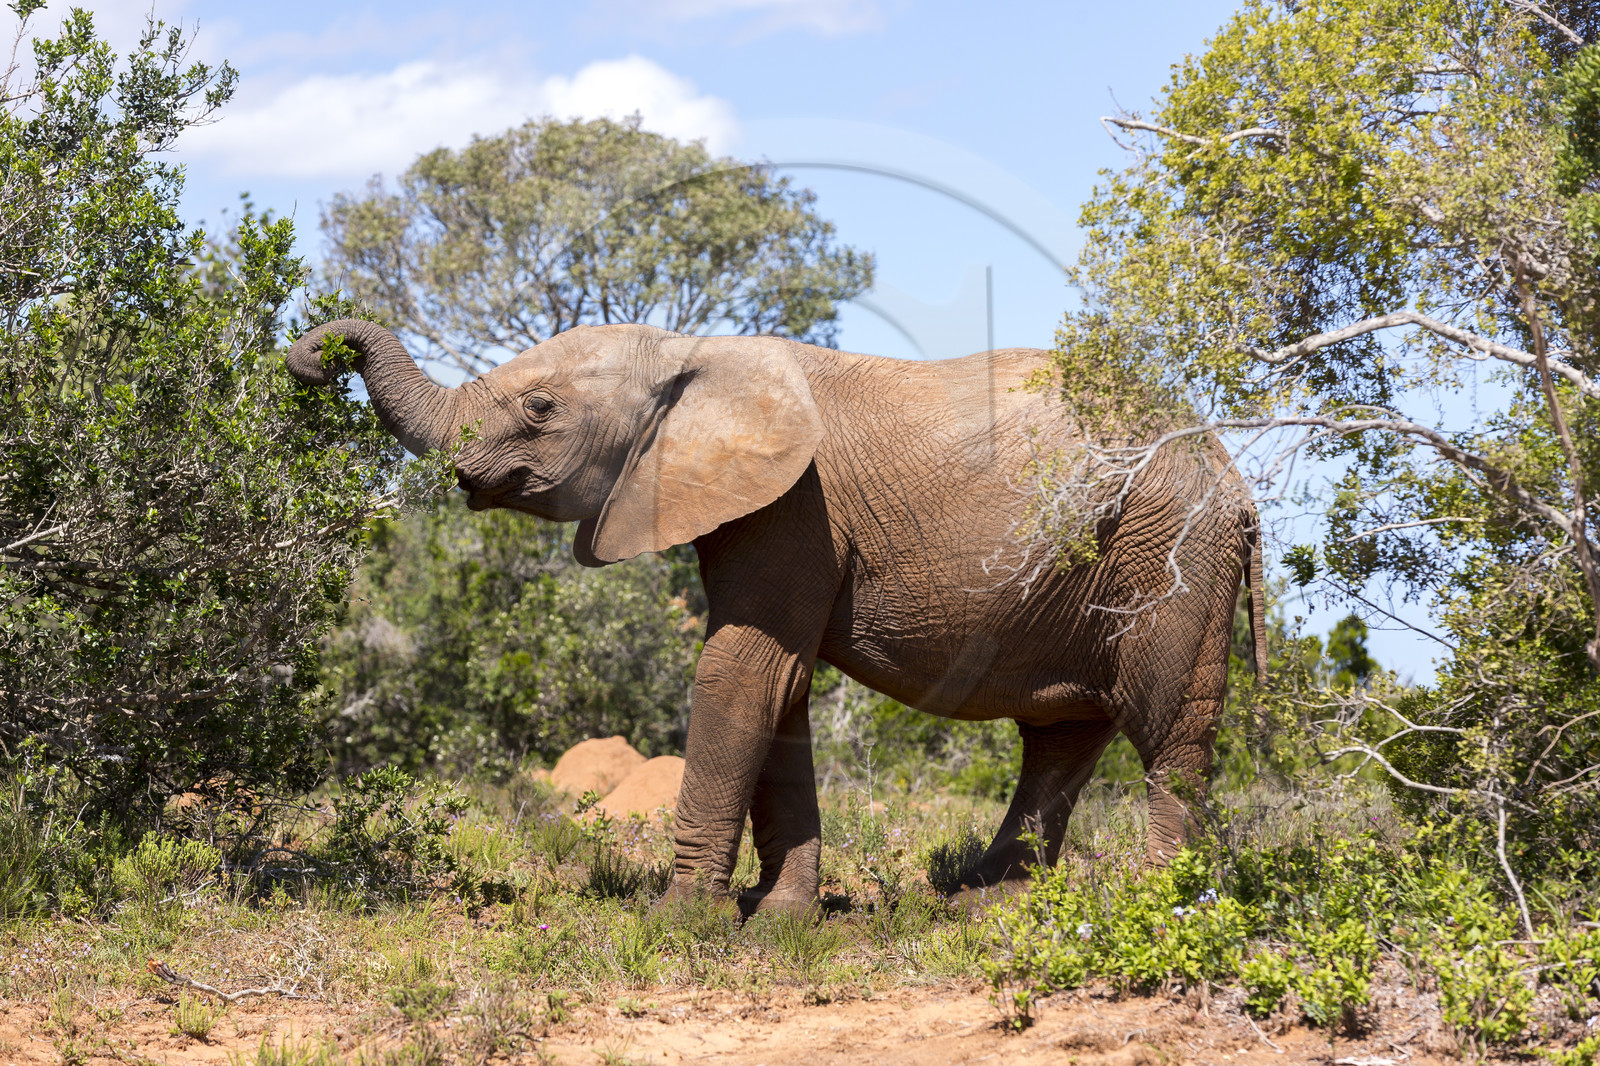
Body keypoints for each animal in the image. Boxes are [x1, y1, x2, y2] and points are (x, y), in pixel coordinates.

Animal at [286, 319, 1266, 912]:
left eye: (538, 408)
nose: (308, 358)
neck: (687, 353)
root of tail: (1232, 469)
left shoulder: (795, 507)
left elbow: (740, 672)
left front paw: (677, 921)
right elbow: (778, 685)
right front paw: (782, 915)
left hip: (1173, 551)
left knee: (1169, 733)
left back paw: (1153, 902)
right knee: (1060, 737)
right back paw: (984, 900)